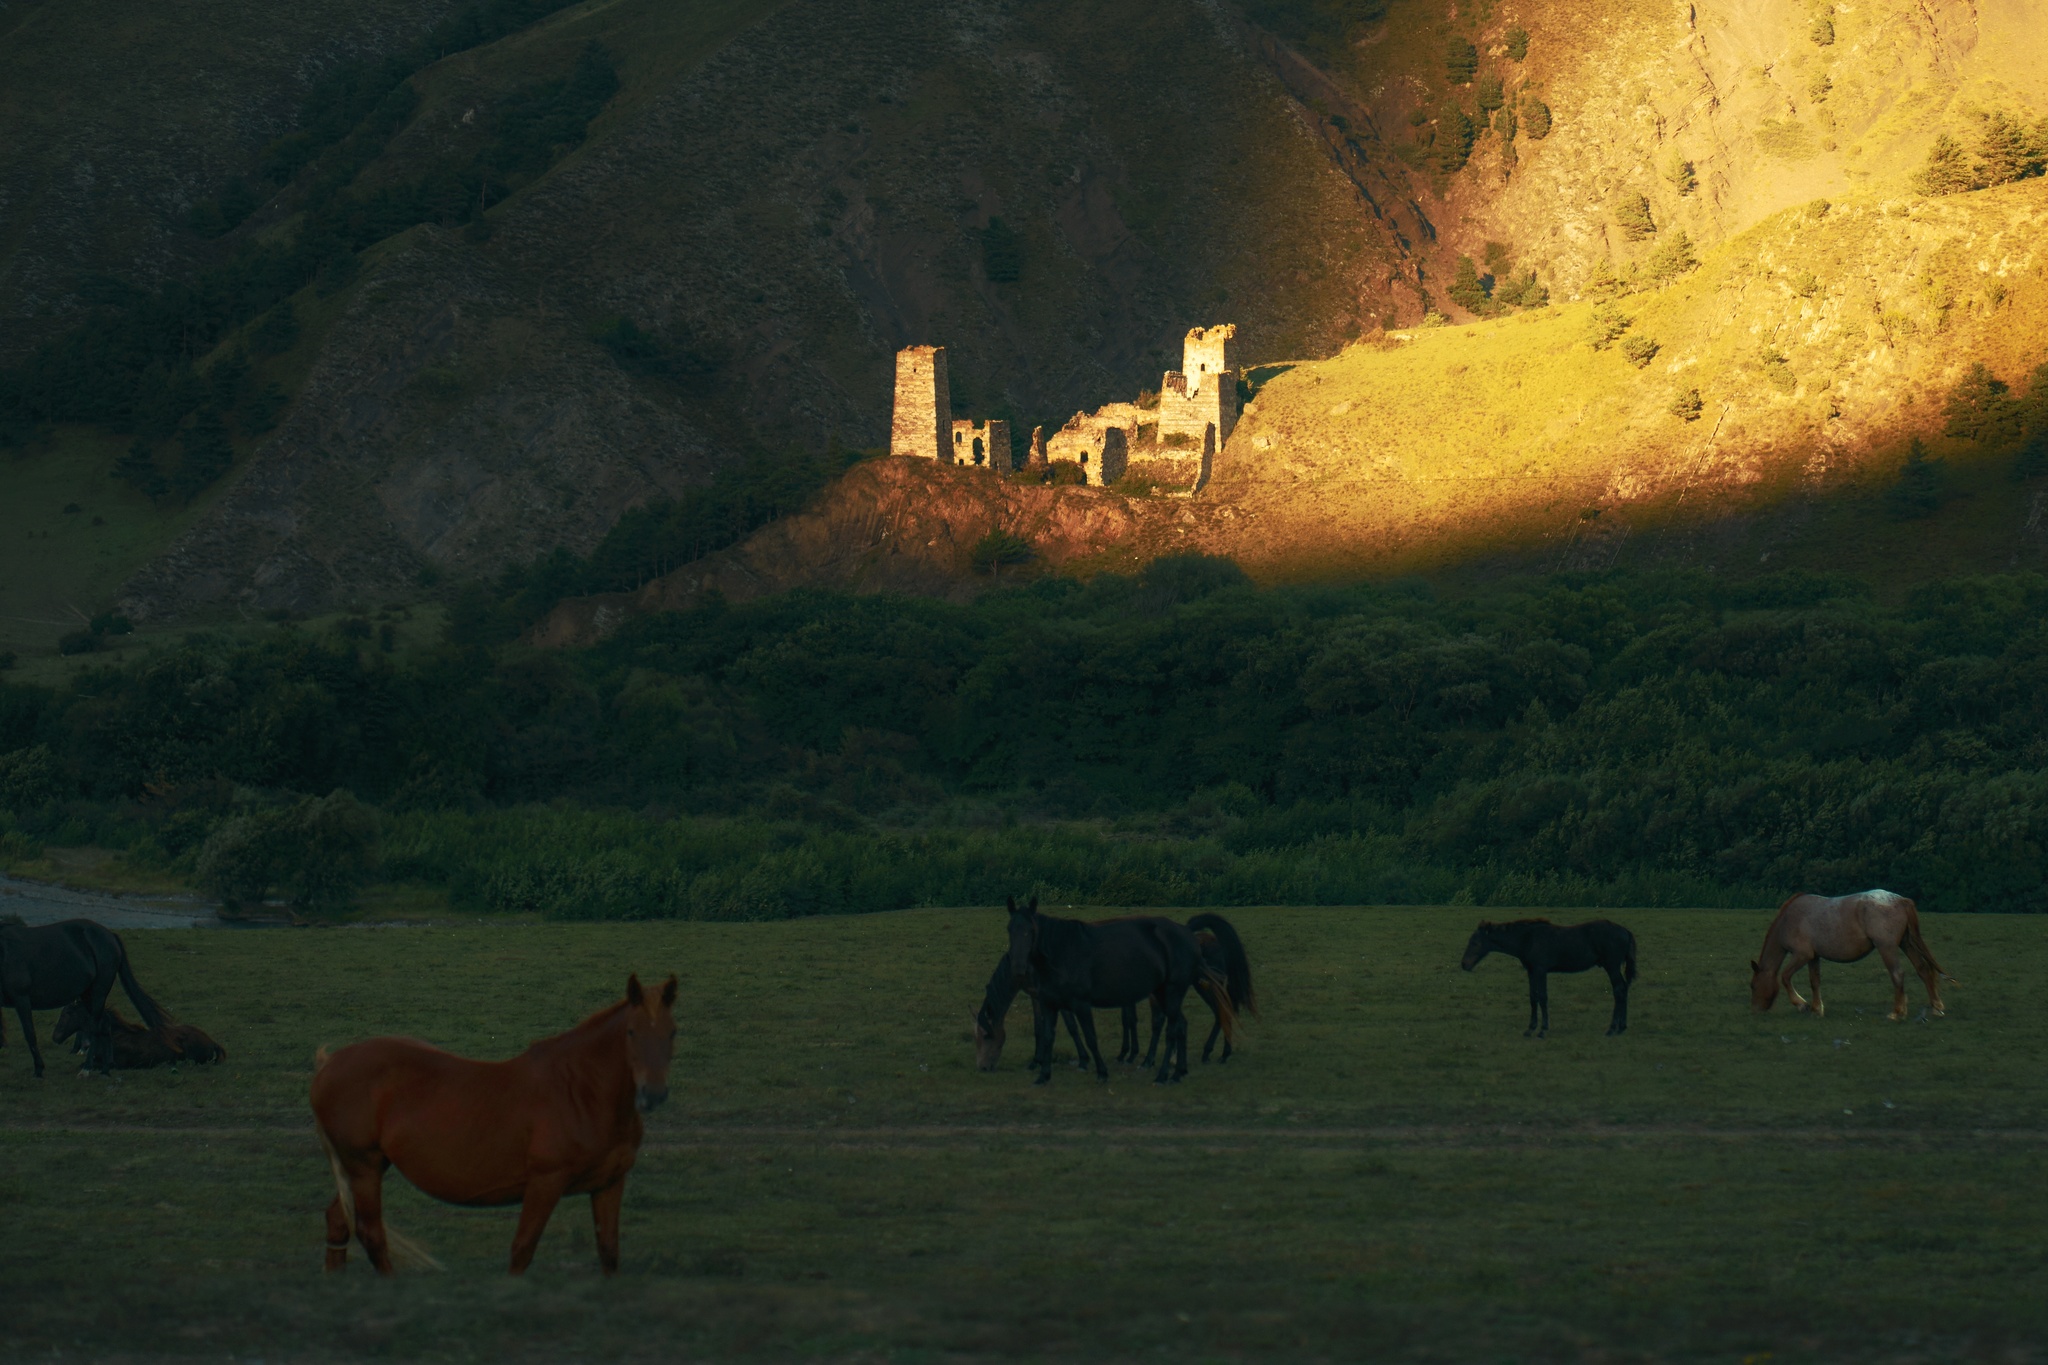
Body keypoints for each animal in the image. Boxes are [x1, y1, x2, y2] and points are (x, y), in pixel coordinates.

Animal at [0, 916, 166, 1080]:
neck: (5, 951)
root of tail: (110, 936)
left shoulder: (21, 999)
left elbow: (30, 1034)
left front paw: (39, 1069)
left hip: (98, 993)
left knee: (95, 1027)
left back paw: (86, 1068)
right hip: (88, 996)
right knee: (105, 1023)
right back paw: (106, 1068)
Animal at [311, 970, 675, 1285]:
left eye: (672, 1032)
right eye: (632, 1032)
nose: (654, 1093)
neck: (581, 1092)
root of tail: (331, 1063)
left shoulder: (609, 1184)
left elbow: (609, 1251)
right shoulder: (545, 1183)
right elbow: (522, 1249)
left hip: (364, 1168)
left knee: (338, 1222)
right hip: (364, 1167)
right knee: (371, 1233)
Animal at [1466, 925, 1638, 1039]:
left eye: (1475, 943)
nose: (1464, 964)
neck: (1528, 939)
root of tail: (1626, 931)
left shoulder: (1541, 970)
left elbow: (1542, 997)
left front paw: (1542, 1030)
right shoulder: (1532, 971)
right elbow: (1533, 997)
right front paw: (1530, 1029)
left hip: (1612, 966)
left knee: (1619, 990)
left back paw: (1612, 1029)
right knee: (1623, 988)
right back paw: (1621, 1027)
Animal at [1744, 892, 1949, 1019]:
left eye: (1753, 985)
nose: (1755, 1011)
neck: (1788, 920)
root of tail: (1900, 900)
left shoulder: (1801, 955)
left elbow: (1785, 977)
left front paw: (1802, 1004)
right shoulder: (1813, 957)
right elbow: (1814, 982)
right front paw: (1817, 1009)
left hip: (1887, 947)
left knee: (1897, 974)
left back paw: (1897, 1012)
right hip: (1906, 943)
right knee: (1923, 970)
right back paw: (1936, 1007)